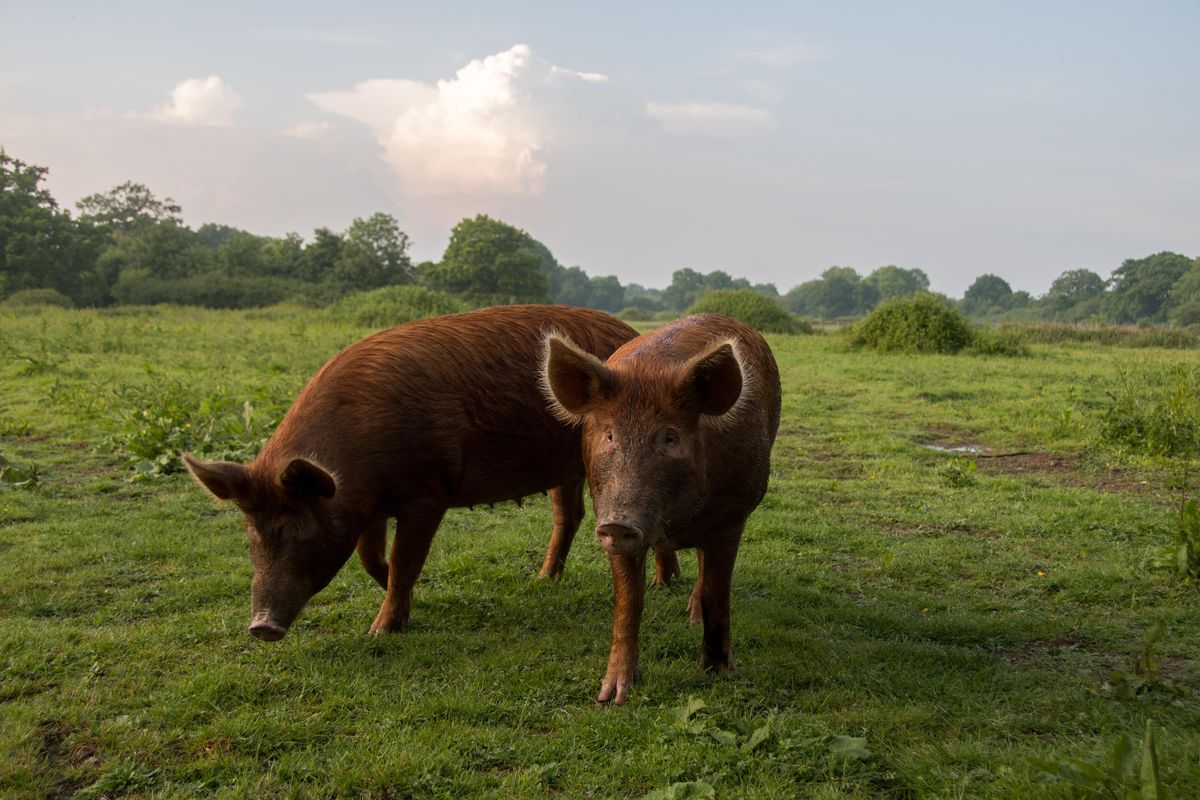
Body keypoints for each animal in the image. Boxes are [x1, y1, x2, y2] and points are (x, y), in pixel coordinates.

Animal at [178, 303, 643, 642]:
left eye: (299, 528)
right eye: (250, 534)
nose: (261, 626)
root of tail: (632, 333)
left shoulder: (426, 492)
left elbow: (405, 559)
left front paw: (380, 631)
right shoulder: (367, 507)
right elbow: (369, 558)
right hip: (563, 467)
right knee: (568, 515)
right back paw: (544, 579)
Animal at [542, 311, 782, 700]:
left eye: (670, 438)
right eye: (610, 434)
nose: (619, 523)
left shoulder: (732, 513)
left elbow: (717, 590)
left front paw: (717, 673)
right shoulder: (606, 508)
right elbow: (628, 602)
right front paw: (611, 696)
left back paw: (691, 616)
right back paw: (662, 585)